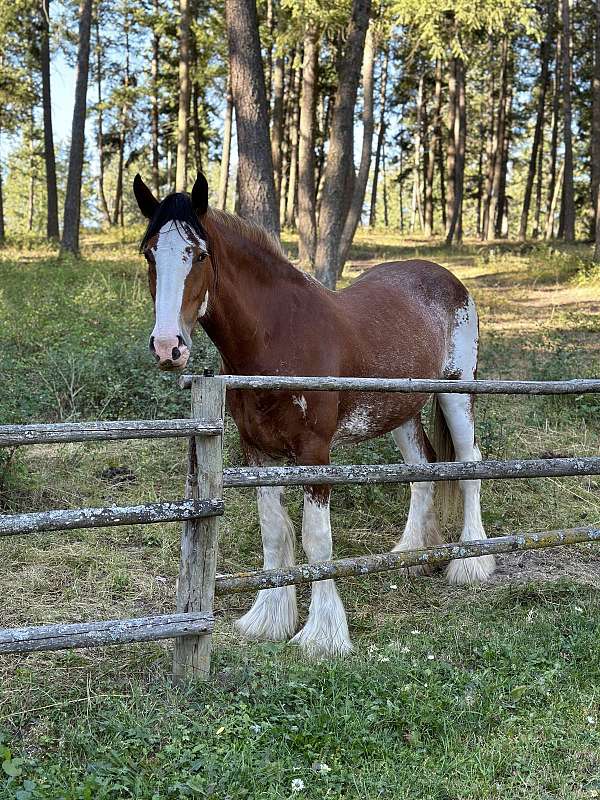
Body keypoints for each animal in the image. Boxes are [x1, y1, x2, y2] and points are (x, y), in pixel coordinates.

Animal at [134, 172, 494, 652]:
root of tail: (448, 279)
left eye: (200, 254)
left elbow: (316, 539)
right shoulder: (257, 452)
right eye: (150, 252)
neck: (279, 336)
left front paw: (322, 635)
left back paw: (472, 562)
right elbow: (274, 530)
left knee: (469, 465)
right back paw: (413, 555)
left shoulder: (314, 453)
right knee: (423, 468)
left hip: (458, 390)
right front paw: (269, 618)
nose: (167, 346)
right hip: (400, 409)